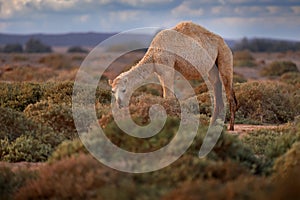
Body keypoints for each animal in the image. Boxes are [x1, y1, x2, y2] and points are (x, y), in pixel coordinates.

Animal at [109, 21, 238, 130]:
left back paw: (230, 126)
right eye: (113, 91)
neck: (154, 54)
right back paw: (213, 124)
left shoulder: (167, 70)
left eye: (124, 90)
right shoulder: (160, 73)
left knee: (228, 90)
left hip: (224, 55)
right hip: (212, 66)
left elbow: (168, 96)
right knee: (216, 85)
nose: (119, 104)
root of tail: (223, 42)